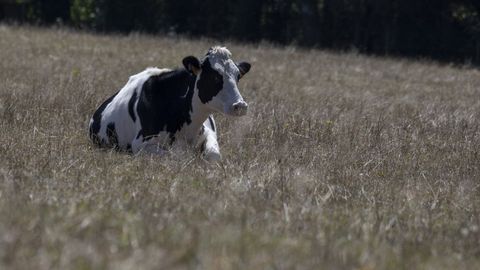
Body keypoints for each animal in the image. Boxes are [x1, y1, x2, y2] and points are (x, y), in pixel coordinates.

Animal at [88, 46, 251, 160]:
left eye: (238, 76)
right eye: (213, 76)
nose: (240, 106)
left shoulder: (209, 133)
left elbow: (215, 156)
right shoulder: (140, 144)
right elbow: (177, 155)